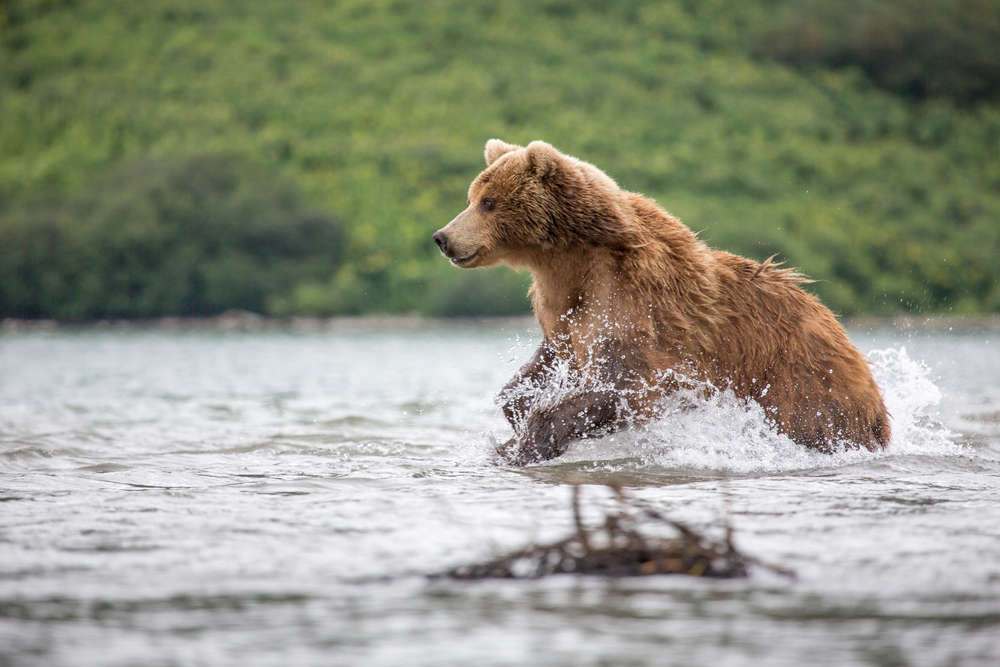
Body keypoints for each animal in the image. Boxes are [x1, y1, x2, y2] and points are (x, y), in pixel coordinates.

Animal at [432, 140, 892, 464]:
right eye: (472, 197)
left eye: (488, 202)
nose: (442, 237)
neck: (570, 260)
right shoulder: (564, 310)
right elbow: (541, 369)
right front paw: (516, 417)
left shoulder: (635, 307)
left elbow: (624, 384)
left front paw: (523, 444)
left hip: (802, 381)